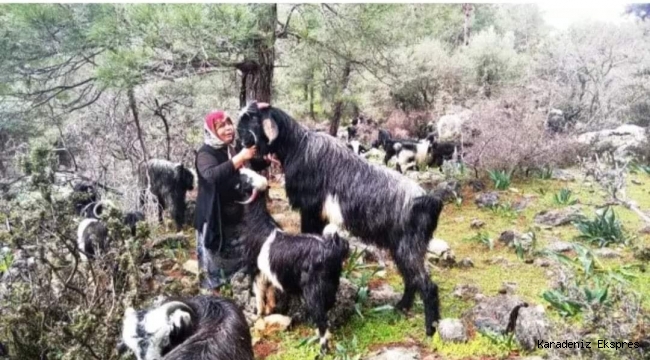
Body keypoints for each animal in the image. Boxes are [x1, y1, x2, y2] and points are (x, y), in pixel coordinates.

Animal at [234, 168, 350, 354]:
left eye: (246, 179)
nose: (239, 168)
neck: (258, 225)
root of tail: (332, 247)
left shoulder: (254, 269)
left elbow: (259, 293)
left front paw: (259, 314)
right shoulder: (268, 272)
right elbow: (270, 290)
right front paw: (271, 308)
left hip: (314, 290)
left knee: (321, 318)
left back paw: (323, 350)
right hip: (332, 283)